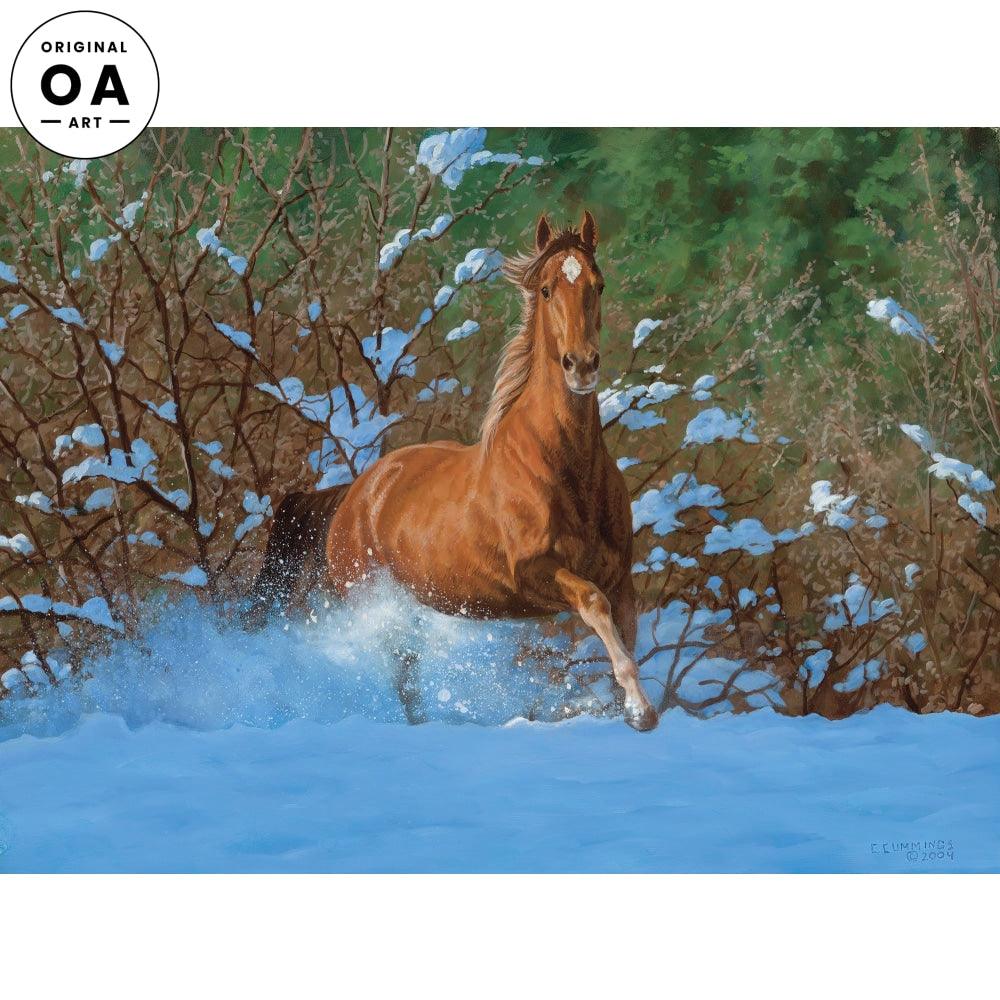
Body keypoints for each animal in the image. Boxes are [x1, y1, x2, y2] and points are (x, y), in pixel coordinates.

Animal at [245, 211, 659, 731]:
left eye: (597, 285)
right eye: (546, 289)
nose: (581, 366)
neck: (563, 467)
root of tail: (355, 494)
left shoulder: (620, 578)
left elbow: (622, 632)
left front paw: (630, 706)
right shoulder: (536, 574)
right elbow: (592, 605)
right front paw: (640, 710)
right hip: (372, 603)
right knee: (395, 668)